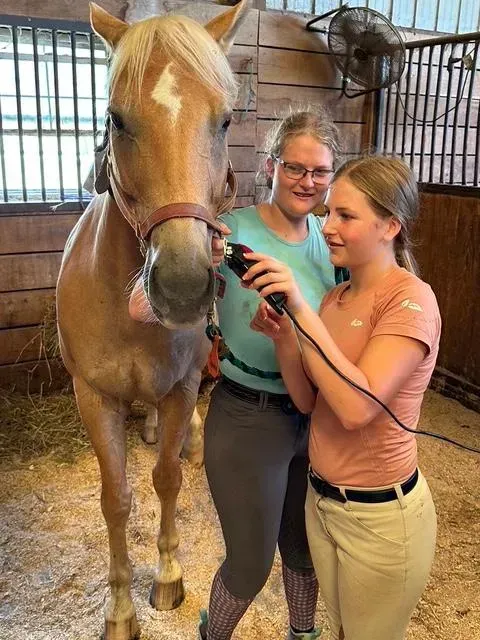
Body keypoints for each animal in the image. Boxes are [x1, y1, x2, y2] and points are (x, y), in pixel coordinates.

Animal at [56, 2, 248, 638]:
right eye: (116, 119)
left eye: (224, 120)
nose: (183, 286)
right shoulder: (92, 396)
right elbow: (116, 496)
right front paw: (119, 608)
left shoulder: (183, 385)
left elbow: (166, 478)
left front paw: (167, 576)